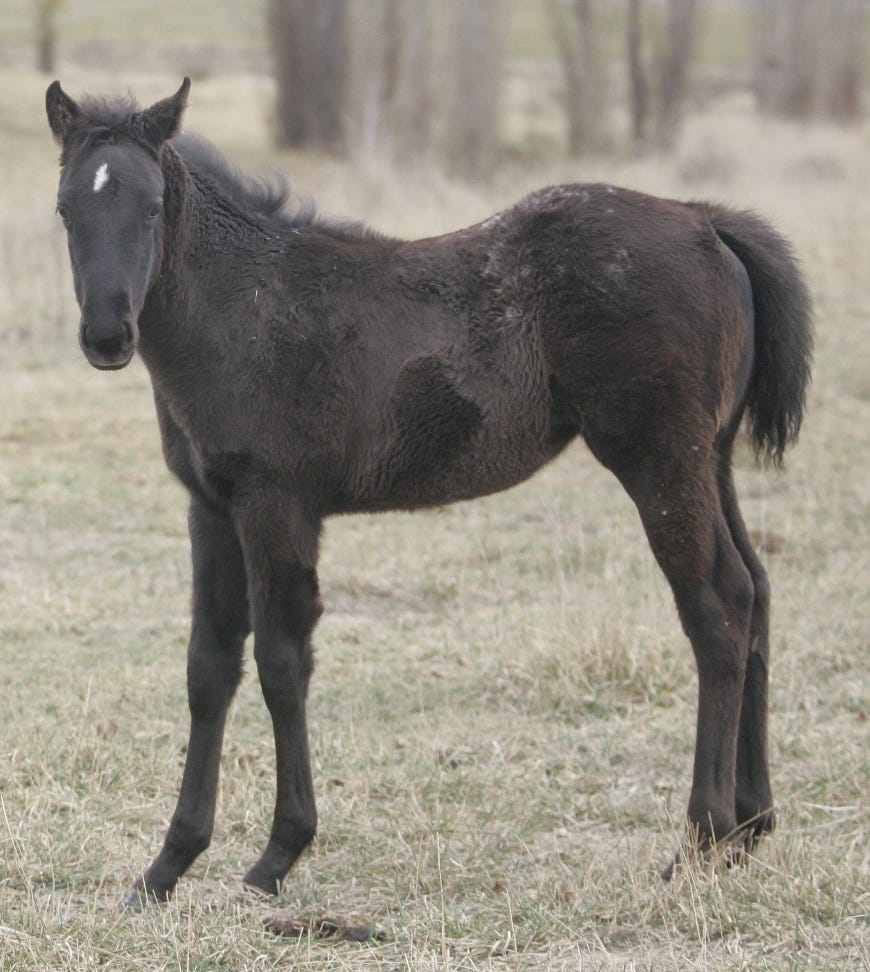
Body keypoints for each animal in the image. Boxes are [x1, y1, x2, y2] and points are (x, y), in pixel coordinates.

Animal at [46, 79, 812, 908]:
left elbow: (282, 662)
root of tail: (705, 221)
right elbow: (208, 667)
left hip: (659, 461)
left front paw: (277, 856)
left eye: (153, 207)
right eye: (65, 209)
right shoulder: (212, 507)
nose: (107, 336)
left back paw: (700, 841)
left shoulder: (276, 505)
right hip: (712, 460)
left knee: (715, 610)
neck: (241, 307)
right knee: (757, 590)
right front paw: (166, 867)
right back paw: (751, 827)